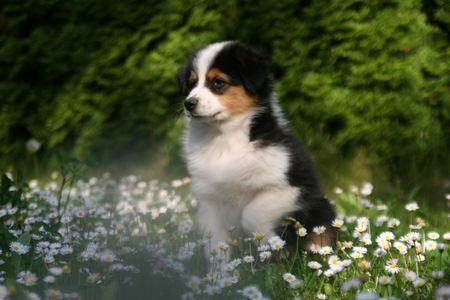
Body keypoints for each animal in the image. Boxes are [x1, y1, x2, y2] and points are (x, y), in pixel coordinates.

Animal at [176, 40, 334, 258]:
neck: (224, 137)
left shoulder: (289, 187)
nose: (188, 104)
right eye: (191, 84)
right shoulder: (209, 201)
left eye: (218, 83)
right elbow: (217, 247)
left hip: (321, 209)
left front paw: (272, 244)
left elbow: (251, 213)